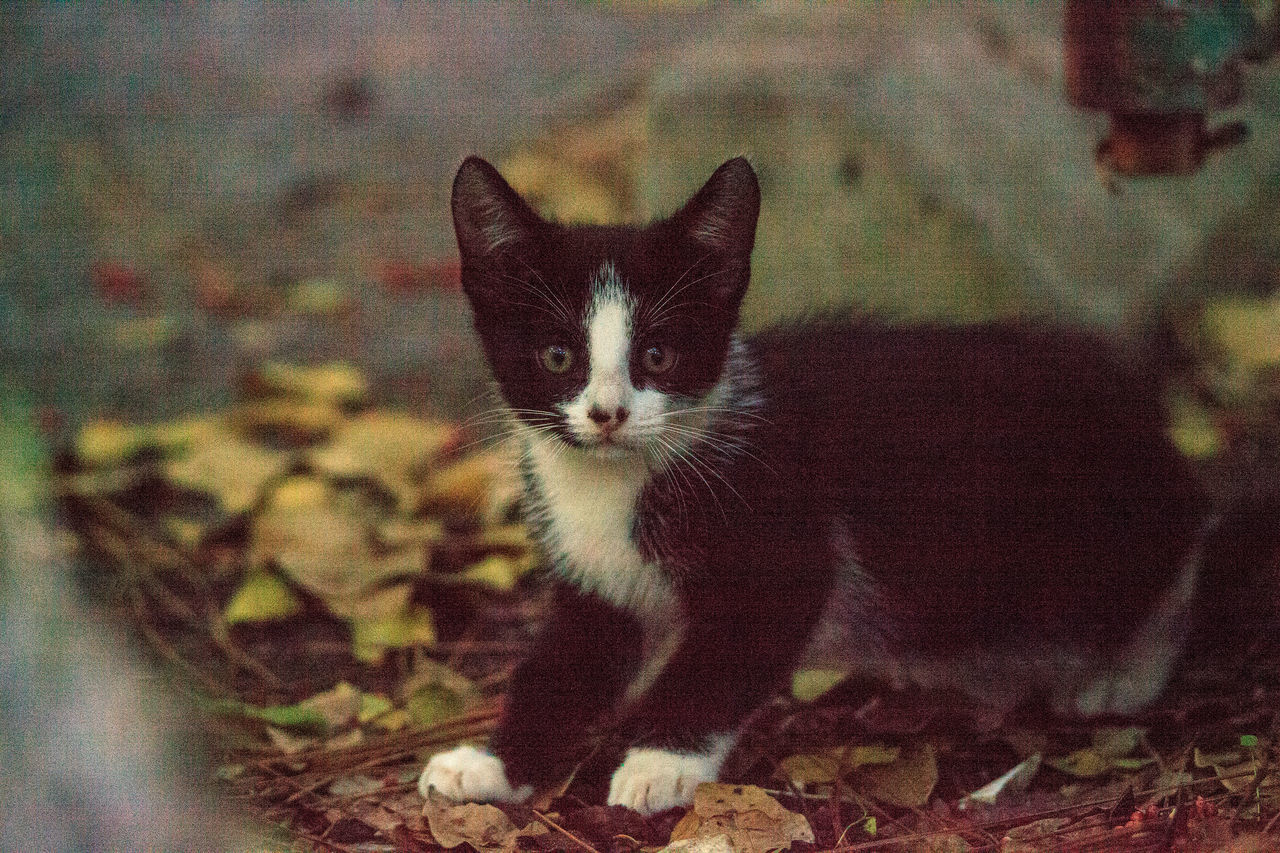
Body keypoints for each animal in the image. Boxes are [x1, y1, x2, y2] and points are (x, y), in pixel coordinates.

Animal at [419, 156, 1208, 814]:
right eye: (557, 356)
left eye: (659, 354)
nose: (607, 413)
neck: (617, 485)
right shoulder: (595, 586)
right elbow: (559, 669)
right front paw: (491, 764)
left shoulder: (787, 544)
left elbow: (717, 662)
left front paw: (659, 762)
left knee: (1188, 536)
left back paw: (1119, 674)